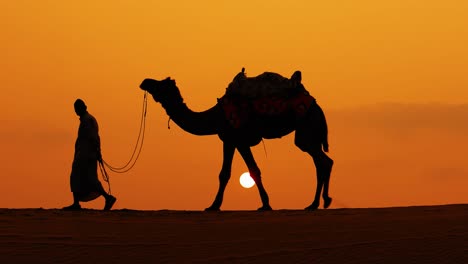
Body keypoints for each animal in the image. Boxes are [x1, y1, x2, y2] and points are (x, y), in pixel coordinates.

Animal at [139, 69, 332, 211]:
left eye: (160, 84)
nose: (145, 81)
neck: (215, 117)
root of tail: (317, 106)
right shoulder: (233, 141)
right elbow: (234, 172)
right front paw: (263, 204)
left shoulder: (236, 139)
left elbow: (243, 172)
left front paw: (215, 206)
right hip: (309, 132)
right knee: (321, 162)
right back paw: (317, 203)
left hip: (307, 128)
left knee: (323, 161)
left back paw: (319, 202)